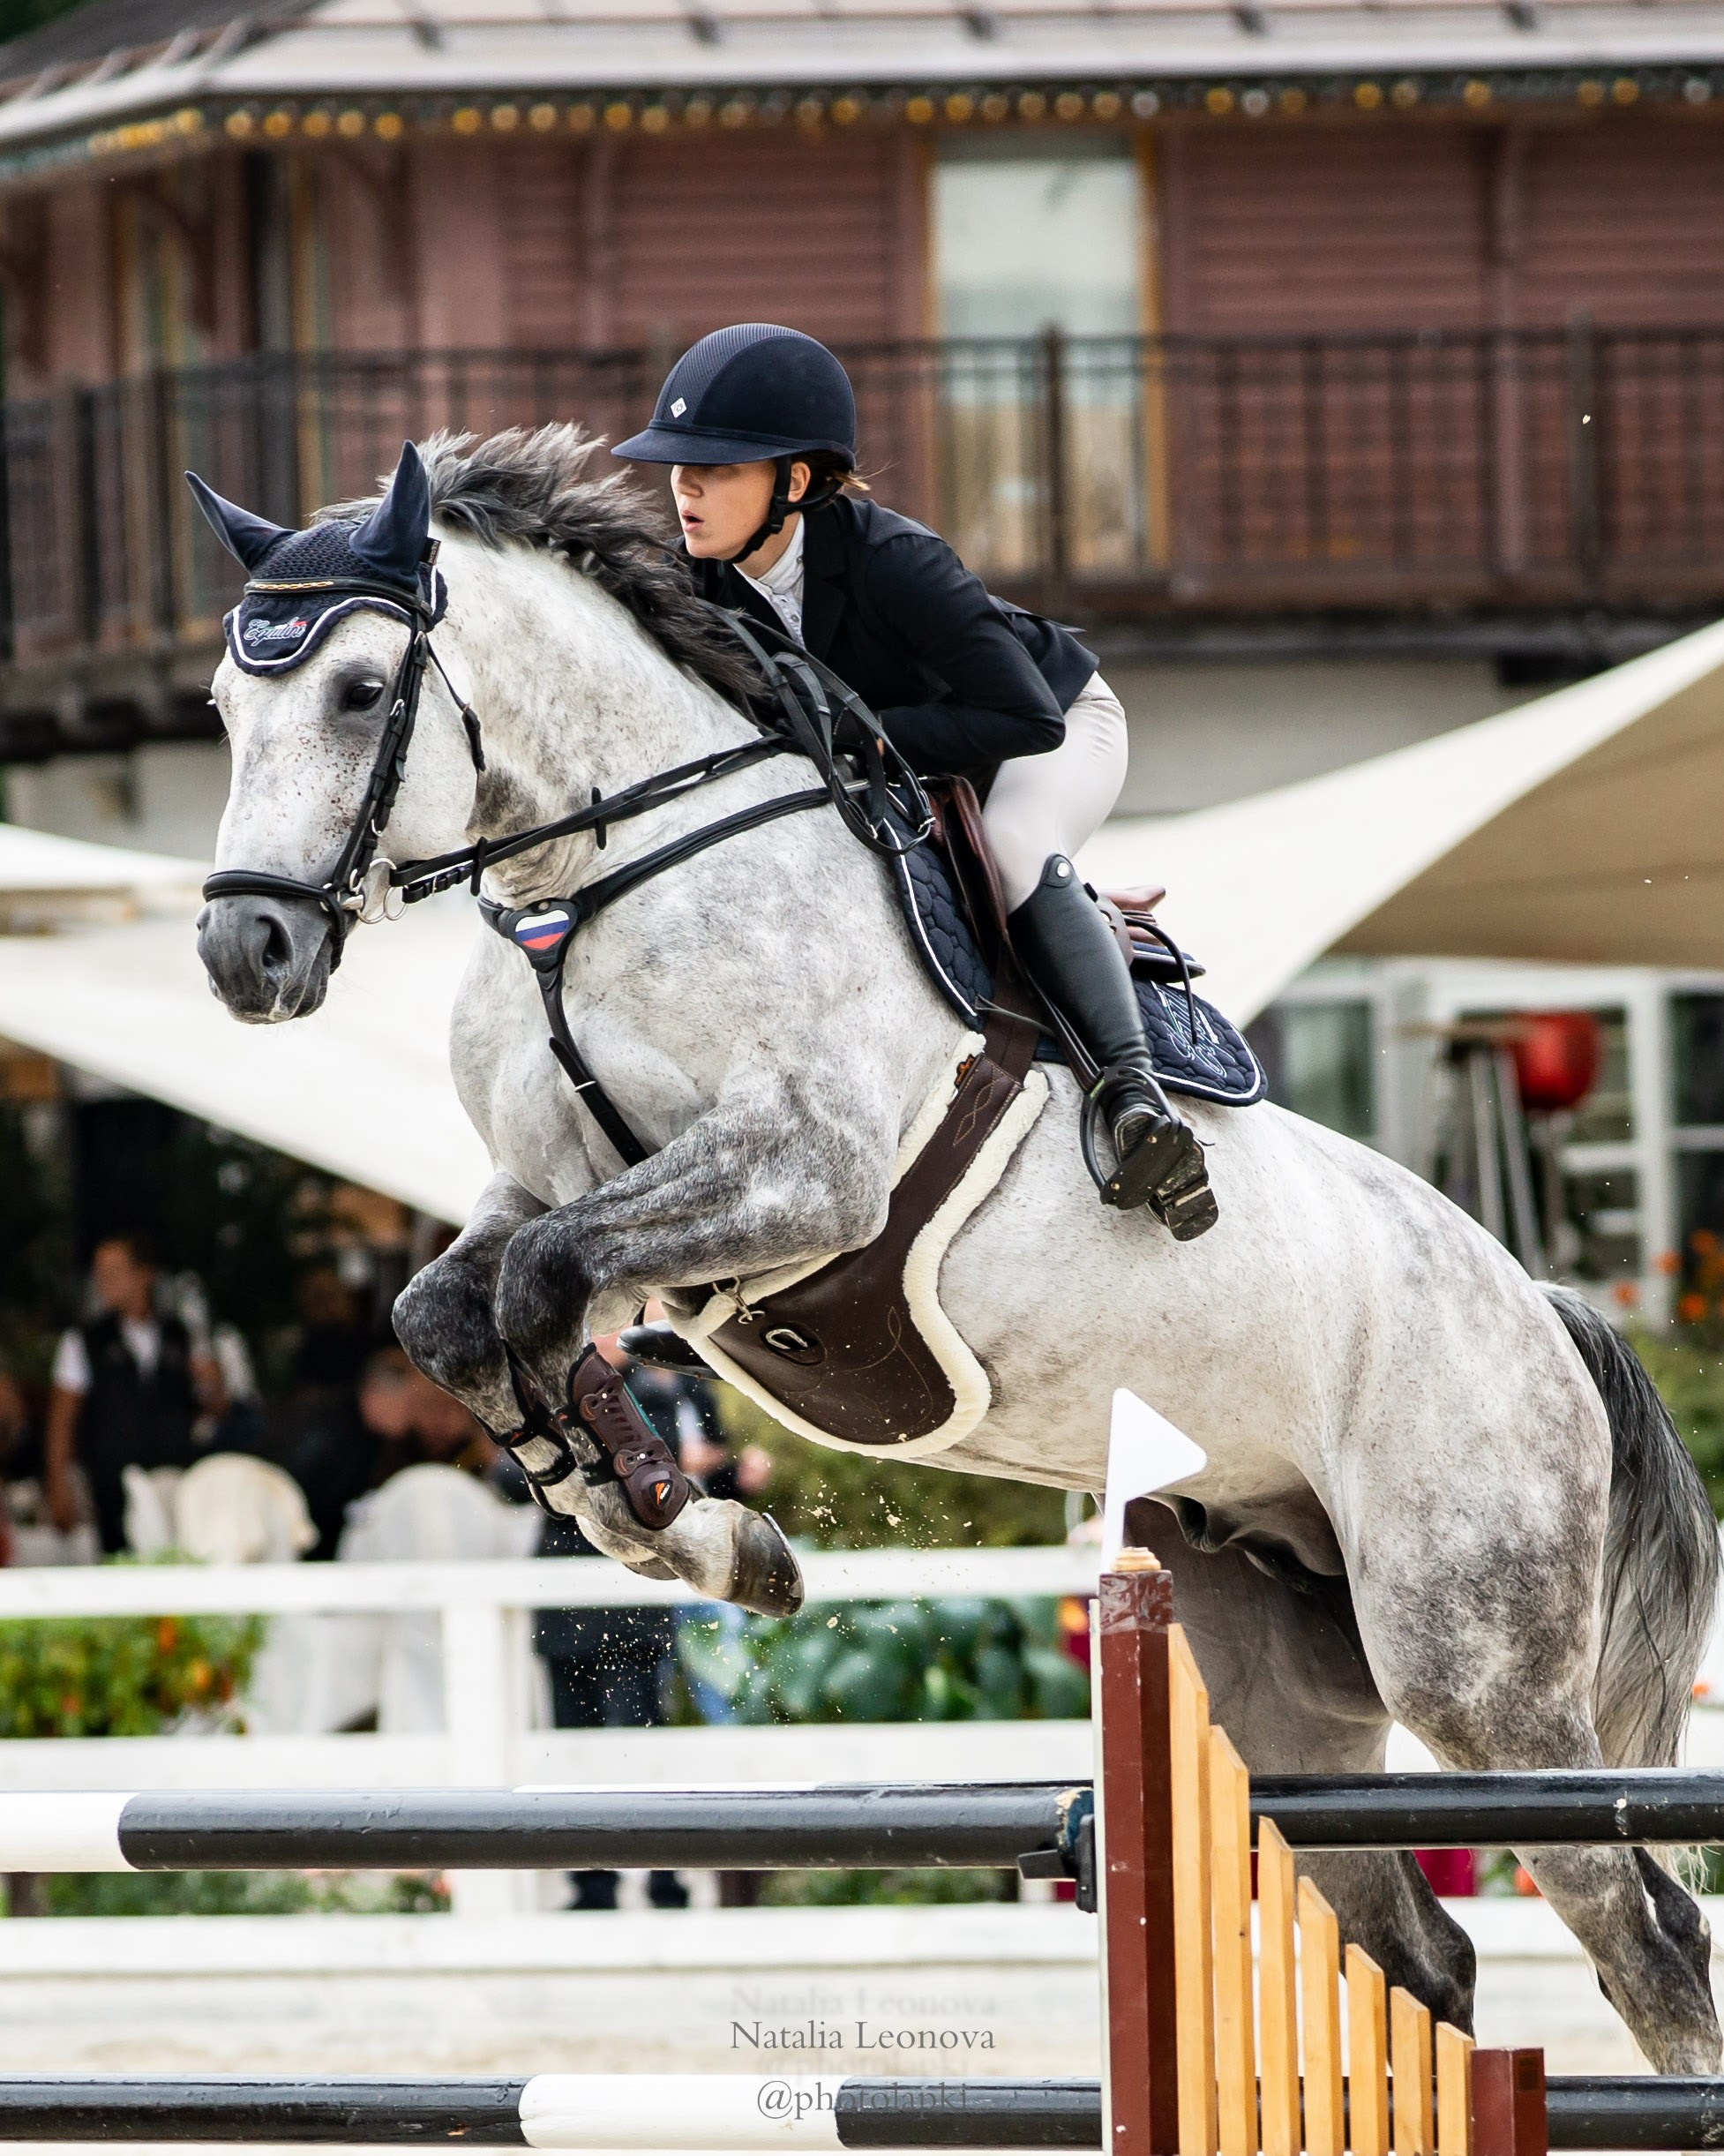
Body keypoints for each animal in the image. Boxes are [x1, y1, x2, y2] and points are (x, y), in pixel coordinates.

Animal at [194, 427, 1720, 2072]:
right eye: (222, 704)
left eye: (360, 691)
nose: (243, 955)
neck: (600, 880)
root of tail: (1539, 1311)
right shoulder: (536, 1180)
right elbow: (451, 1310)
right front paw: (670, 1514)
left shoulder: (805, 1175)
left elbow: (544, 1285)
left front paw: (687, 1521)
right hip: (1271, 1681)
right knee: (1419, 1945)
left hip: (1470, 1652)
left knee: (1641, 1926)